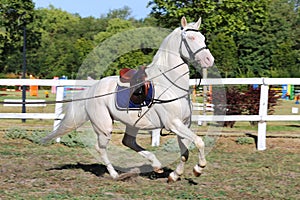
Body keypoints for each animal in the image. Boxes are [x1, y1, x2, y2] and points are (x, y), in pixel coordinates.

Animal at [42, 16, 216, 183]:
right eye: (190, 37)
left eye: (203, 37)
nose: (209, 60)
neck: (170, 84)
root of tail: (92, 89)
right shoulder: (173, 124)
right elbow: (199, 142)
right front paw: (199, 168)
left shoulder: (183, 124)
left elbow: (185, 152)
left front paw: (174, 175)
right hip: (104, 127)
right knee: (101, 148)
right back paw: (115, 175)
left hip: (133, 124)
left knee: (128, 142)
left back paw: (156, 165)